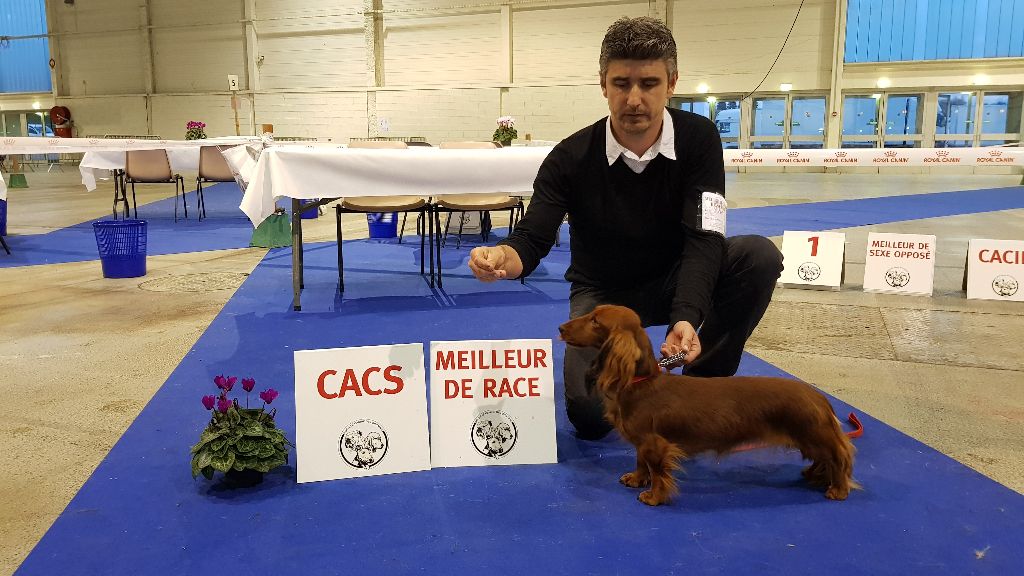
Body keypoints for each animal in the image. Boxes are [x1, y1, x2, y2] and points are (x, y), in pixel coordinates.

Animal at [558, 304, 858, 506]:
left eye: (595, 320)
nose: (561, 328)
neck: (642, 383)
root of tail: (819, 397)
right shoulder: (643, 443)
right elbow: (641, 462)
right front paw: (635, 478)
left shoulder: (655, 443)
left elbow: (657, 471)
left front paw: (653, 496)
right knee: (826, 458)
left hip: (813, 435)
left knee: (839, 456)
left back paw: (838, 489)